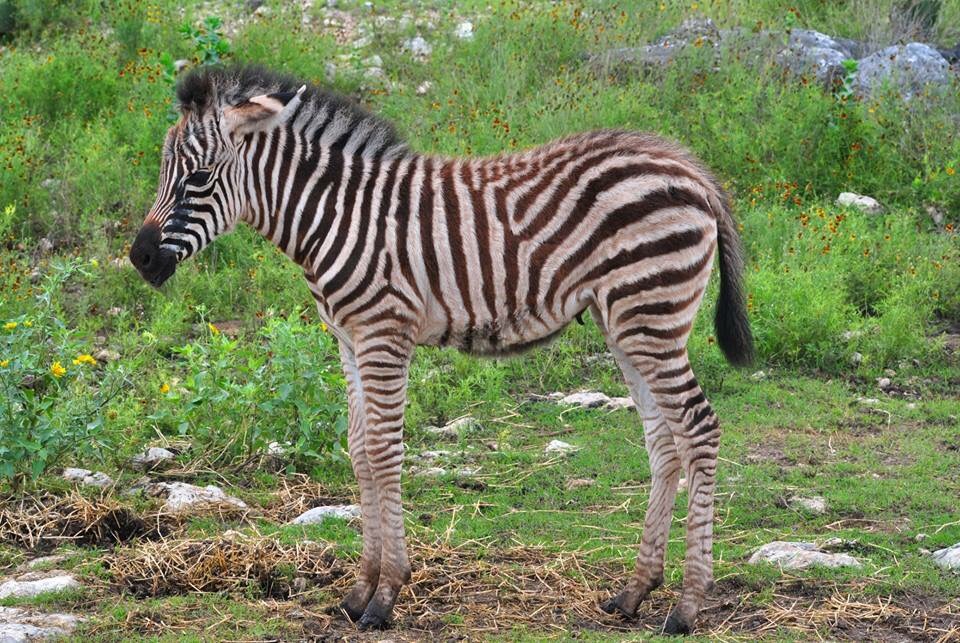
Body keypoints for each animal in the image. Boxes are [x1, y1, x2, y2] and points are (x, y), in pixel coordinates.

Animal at [130, 65, 754, 635]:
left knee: (698, 428)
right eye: (164, 172)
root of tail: (688, 167)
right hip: (625, 323)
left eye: (199, 177)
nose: (140, 258)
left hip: (652, 314)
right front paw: (358, 591)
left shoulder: (384, 332)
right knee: (664, 441)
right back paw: (633, 592)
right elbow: (358, 449)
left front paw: (385, 597)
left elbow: (383, 452)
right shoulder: (349, 339)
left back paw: (687, 606)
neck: (335, 216)